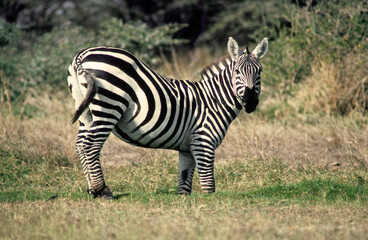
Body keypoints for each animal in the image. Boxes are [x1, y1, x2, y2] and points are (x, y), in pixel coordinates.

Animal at [67, 37, 268, 199]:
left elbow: (184, 181)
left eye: (259, 71)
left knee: (80, 145)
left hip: (86, 112)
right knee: (90, 146)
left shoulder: (187, 148)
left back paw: (91, 190)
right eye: (237, 72)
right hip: (109, 107)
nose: (250, 101)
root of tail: (82, 55)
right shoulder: (204, 142)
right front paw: (209, 203)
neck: (213, 100)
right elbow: (208, 185)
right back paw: (102, 190)